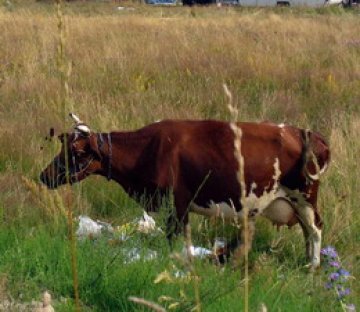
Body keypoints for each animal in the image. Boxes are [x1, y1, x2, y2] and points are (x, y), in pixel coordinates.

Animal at [39, 114, 330, 268]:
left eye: (77, 152)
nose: (45, 175)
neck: (149, 149)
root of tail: (305, 132)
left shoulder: (176, 204)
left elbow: (173, 239)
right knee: (307, 231)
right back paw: (307, 261)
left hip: (304, 197)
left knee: (315, 229)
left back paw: (313, 266)